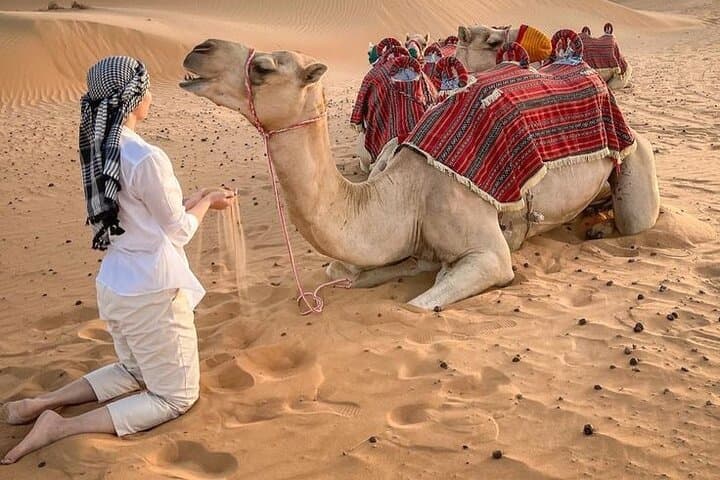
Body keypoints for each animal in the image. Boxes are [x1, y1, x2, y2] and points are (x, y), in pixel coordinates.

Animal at [180, 39, 659, 310]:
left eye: (263, 68)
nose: (199, 49)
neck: (404, 196)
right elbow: (340, 271)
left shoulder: (488, 254)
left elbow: (421, 305)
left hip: (635, 154)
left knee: (639, 217)